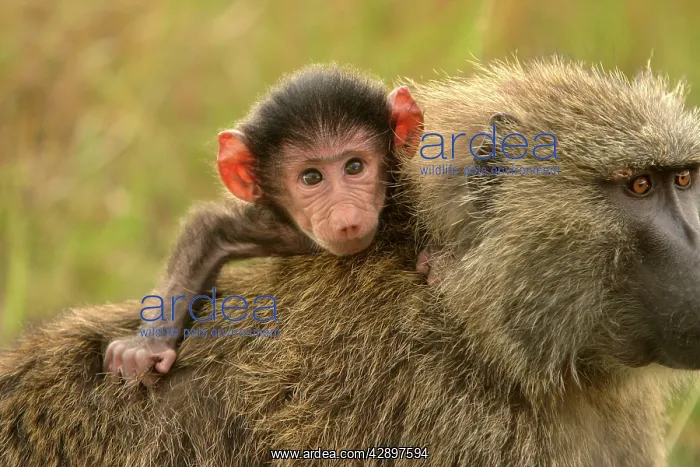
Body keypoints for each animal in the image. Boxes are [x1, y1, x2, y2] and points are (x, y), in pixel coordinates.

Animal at [102, 64, 425, 386]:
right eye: (311, 177)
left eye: (355, 166)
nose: (346, 219)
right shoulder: (281, 229)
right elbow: (212, 232)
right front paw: (146, 346)